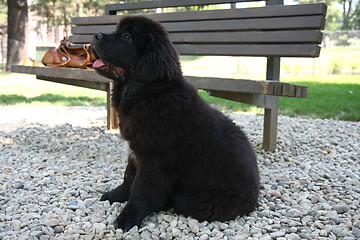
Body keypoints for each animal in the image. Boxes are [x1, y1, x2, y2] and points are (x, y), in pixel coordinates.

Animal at [90, 15, 258, 232]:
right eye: (117, 30)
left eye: (127, 36)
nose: (95, 35)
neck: (147, 93)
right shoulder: (135, 152)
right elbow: (128, 178)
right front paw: (115, 195)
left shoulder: (154, 160)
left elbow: (141, 189)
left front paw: (128, 217)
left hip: (196, 201)